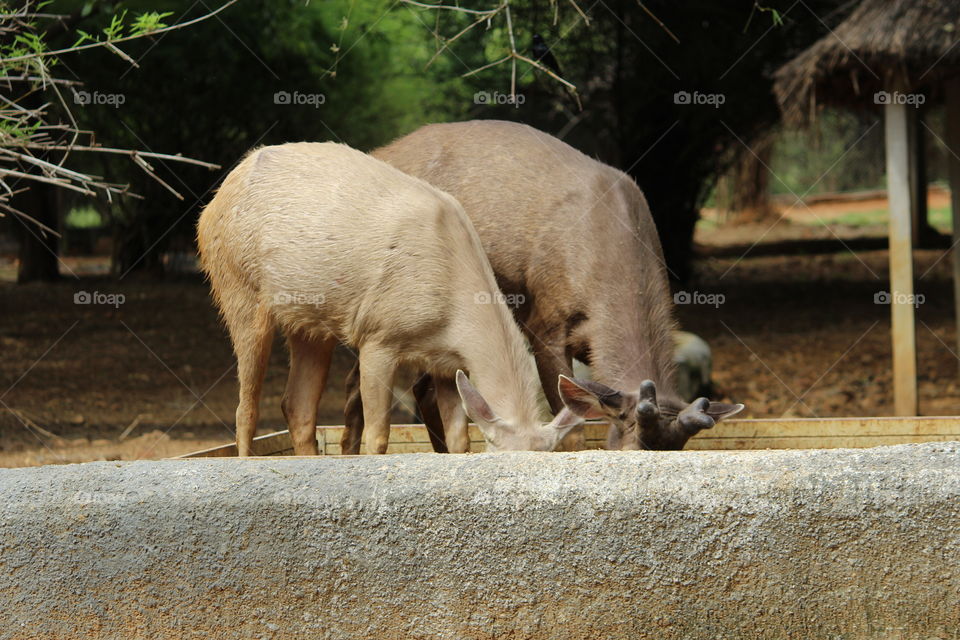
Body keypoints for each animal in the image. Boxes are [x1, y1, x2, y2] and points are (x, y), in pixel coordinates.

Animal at [196, 141, 583, 456]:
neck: (450, 317)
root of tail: (208, 210)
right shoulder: (377, 336)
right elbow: (377, 435)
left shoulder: (445, 364)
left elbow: (459, 440)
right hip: (235, 284)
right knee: (246, 405)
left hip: (311, 324)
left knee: (298, 406)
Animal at [343, 120, 743, 452]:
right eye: (627, 447)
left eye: (678, 449)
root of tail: (380, 151)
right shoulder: (545, 322)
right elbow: (572, 427)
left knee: (416, 387)